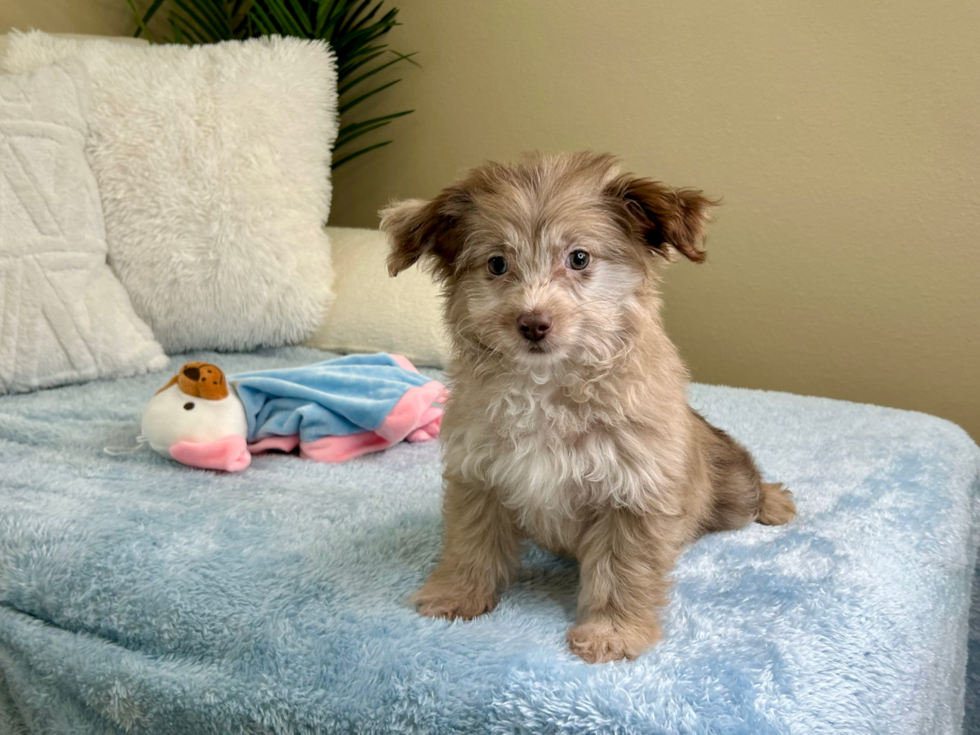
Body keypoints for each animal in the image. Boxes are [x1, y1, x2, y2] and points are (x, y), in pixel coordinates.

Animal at [378, 152, 792, 664]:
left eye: (579, 258)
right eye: (497, 264)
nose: (533, 322)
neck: (547, 386)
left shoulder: (632, 492)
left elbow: (623, 569)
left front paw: (612, 633)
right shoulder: (479, 477)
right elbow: (469, 543)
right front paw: (456, 594)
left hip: (730, 490)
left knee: (750, 491)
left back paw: (775, 502)